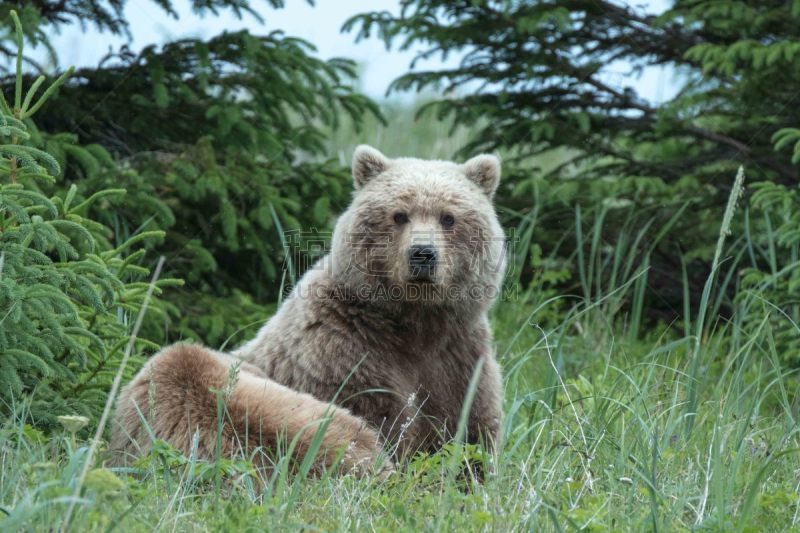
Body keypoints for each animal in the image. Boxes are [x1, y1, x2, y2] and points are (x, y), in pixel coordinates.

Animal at [111, 144, 506, 474]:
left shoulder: (458, 359)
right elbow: (386, 420)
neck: (414, 323)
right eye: (399, 215)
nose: (423, 254)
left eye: (448, 217)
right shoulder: (343, 353)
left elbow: (471, 432)